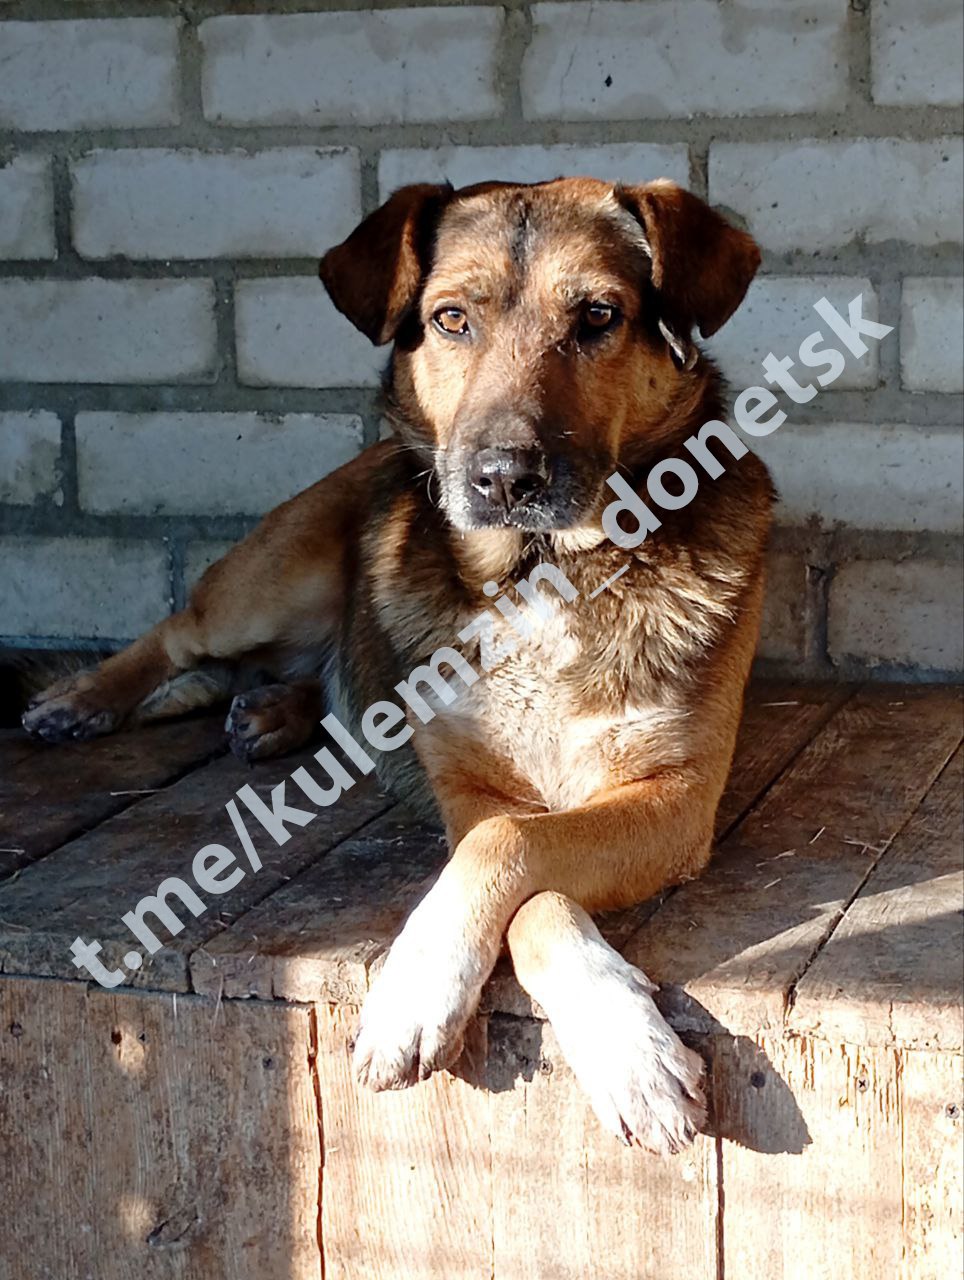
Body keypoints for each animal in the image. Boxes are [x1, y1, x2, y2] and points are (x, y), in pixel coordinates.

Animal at [23, 177, 773, 1153]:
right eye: (452, 319)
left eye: (599, 317)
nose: (503, 478)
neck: (541, 573)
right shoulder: (472, 792)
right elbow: (512, 855)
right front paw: (434, 997)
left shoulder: (677, 798)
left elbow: (514, 849)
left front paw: (619, 1051)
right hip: (274, 580)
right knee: (181, 637)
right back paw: (86, 699)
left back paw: (273, 712)